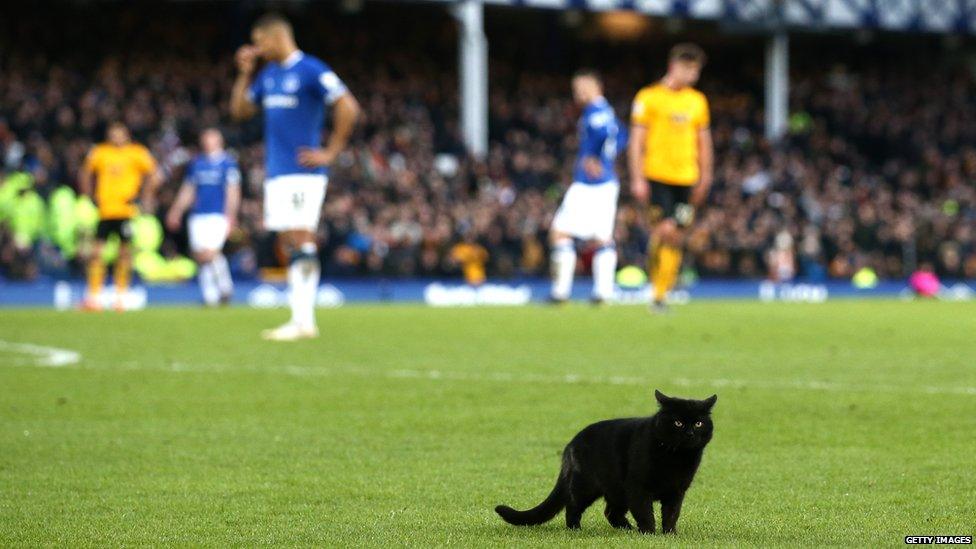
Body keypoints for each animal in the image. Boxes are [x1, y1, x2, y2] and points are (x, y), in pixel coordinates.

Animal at [496, 390, 716, 536]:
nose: (690, 433)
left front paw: (670, 534)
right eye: (678, 423)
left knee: (610, 512)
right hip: (588, 485)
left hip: (617, 490)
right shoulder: (638, 487)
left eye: (698, 423)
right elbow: (645, 512)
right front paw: (649, 533)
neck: (676, 458)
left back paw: (628, 529)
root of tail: (572, 442)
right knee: (573, 505)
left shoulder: (676, 491)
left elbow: (671, 514)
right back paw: (576, 529)